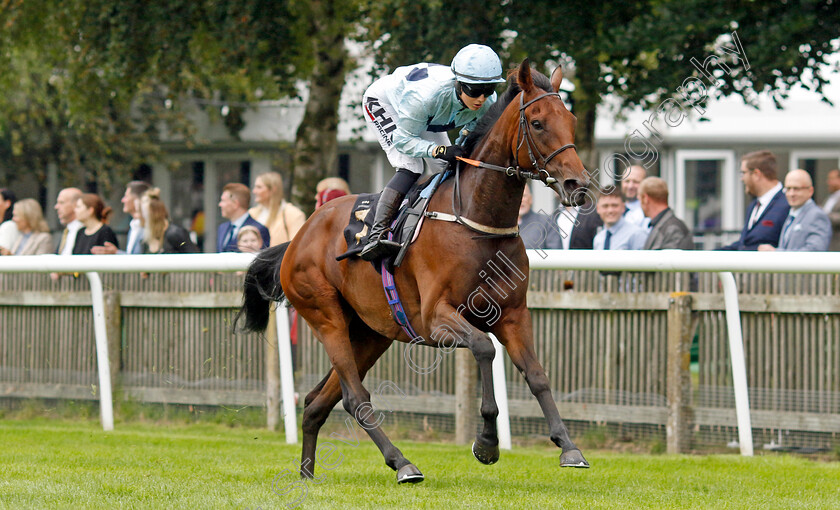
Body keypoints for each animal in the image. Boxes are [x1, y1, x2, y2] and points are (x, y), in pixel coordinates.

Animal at [236, 59, 592, 482]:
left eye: (571, 120)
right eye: (537, 123)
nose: (578, 183)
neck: (474, 218)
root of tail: (298, 237)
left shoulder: (513, 314)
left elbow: (537, 375)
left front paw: (568, 447)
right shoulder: (435, 318)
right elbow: (484, 348)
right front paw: (486, 443)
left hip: (371, 333)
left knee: (317, 400)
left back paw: (308, 474)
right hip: (326, 316)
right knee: (355, 397)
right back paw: (402, 463)